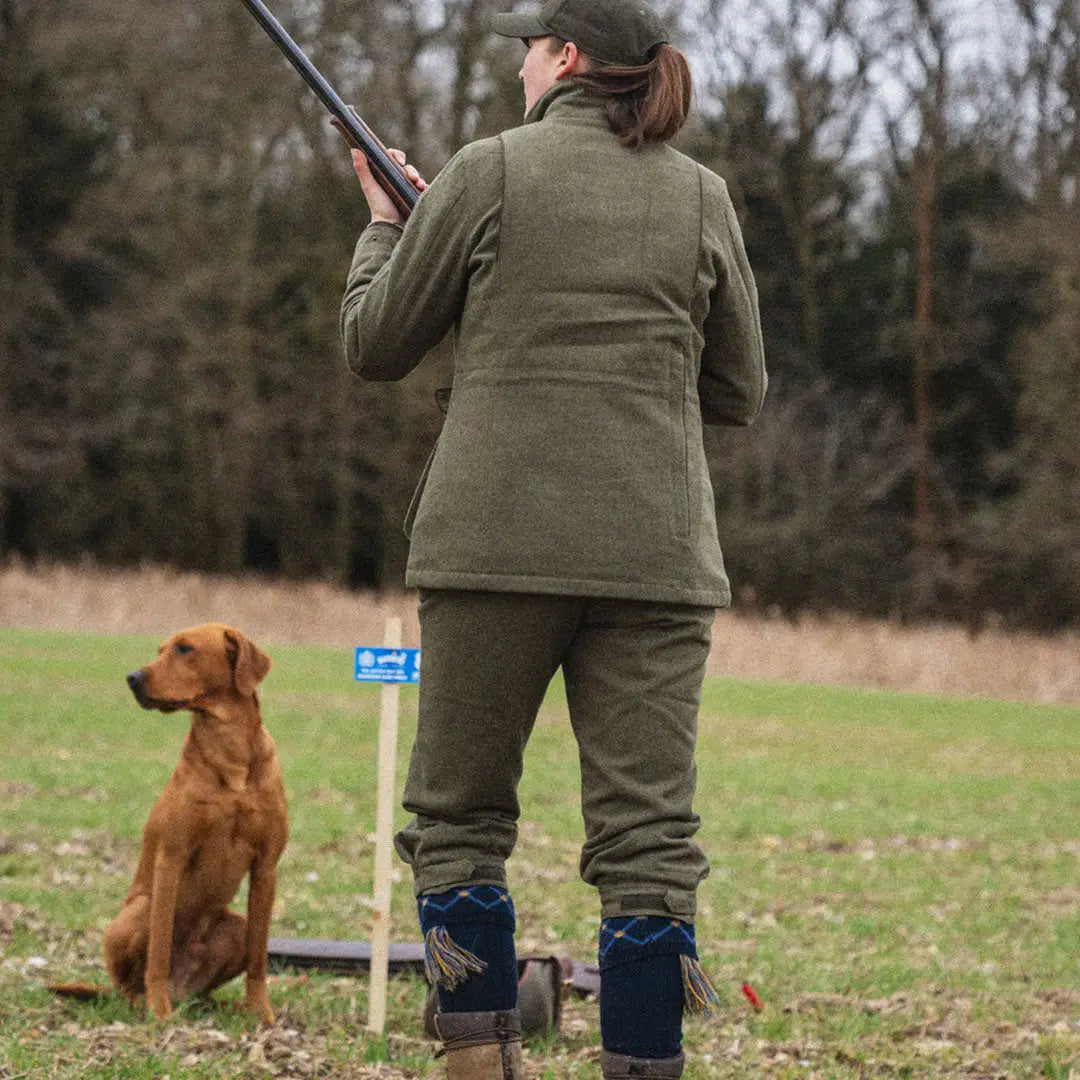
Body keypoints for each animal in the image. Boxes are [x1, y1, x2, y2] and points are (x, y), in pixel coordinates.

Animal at [54, 626, 287, 1019]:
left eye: (184, 649)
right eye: (160, 650)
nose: (132, 678)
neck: (231, 755)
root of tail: (184, 990)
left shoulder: (266, 866)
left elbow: (260, 957)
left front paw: (260, 1012)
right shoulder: (171, 857)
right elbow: (159, 951)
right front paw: (159, 1011)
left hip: (235, 926)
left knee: (209, 986)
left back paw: (221, 1005)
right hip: (140, 911)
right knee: (128, 984)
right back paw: (145, 1001)